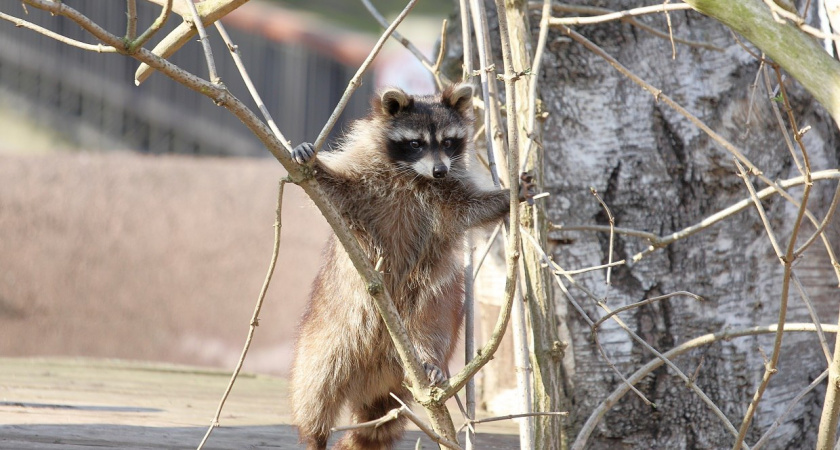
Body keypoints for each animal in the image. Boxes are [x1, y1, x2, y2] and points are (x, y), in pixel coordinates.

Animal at [288, 82, 524, 448]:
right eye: (416, 143)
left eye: (448, 142)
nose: (440, 170)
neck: (414, 176)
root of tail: (375, 376)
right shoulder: (366, 182)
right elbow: (336, 190)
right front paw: (316, 167)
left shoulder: (447, 194)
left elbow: (470, 207)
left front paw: (503, 199)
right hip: (327, 334)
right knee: (315, 387)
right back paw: (314, 434)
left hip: (432, 300)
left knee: (432, 324)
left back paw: (430, 361)